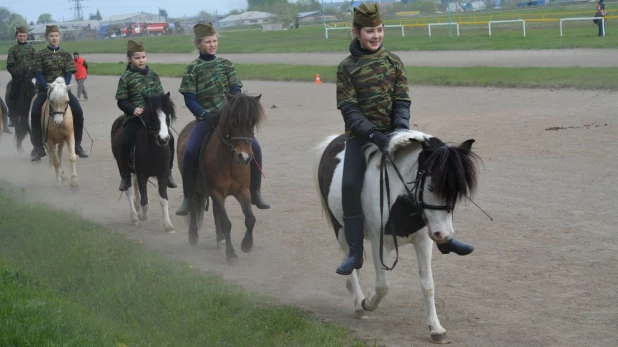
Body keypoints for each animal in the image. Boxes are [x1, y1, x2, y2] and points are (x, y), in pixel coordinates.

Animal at [111, 92, 176, 234]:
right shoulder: (142, 174)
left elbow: (163, 199)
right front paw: (141, 216)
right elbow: (145, 201)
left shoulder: (163, 174)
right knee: (128, 189)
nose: (164, 139)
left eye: (168, 116)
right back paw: (135, 217)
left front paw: (168, 225)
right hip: (122, 167)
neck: (153, 149)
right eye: (153, 116)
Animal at [177, 94, 266, 266]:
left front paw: (246, 245)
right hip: (196, 189)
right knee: (192, 205)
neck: (229, 159)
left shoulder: (243, 191)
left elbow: (250, 219)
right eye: (233, 122)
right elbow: (226, 222)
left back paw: (220, 238)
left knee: (215, 212)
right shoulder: (216, 192)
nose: (244, 157)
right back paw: (193, 235)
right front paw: (231, 254)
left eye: (252, 123)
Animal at [316, 130, 478, 346]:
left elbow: (428, 285)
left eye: (458, 192)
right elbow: (382, 286)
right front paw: (367, 303)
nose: (443, 235)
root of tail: (333, 141)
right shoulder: (379, 243)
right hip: (340, 229)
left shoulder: (423, 242)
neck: (400, 199)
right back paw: (358, 303)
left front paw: (436, 329)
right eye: (431, 187)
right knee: (349, 257)